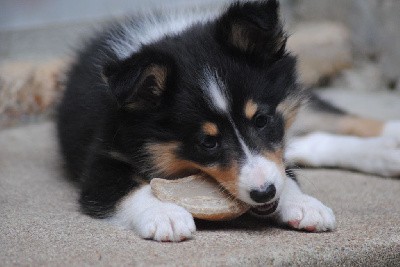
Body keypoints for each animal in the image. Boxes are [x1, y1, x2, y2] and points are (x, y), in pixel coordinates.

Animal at [57, 0, 400, 243]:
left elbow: (282, 168)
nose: (264, 194)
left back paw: (390, 138)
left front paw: (303, 203)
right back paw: (387, 152)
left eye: (261, 120)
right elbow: (127, 189)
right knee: (310, 143)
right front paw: (165, 214)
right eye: (207, 142)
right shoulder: (101, 159)